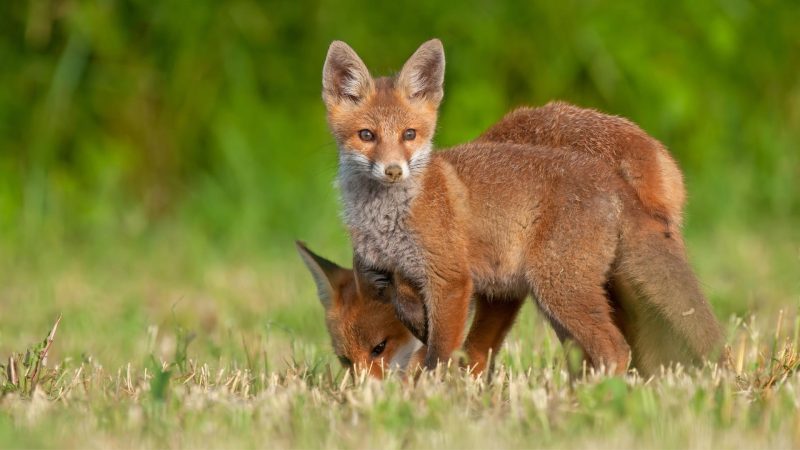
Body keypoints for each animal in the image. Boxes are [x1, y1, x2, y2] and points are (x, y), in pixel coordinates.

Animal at [296, 38, 720, 378]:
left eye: (380, 348)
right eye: (366, 135)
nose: (393, 170)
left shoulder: (464, 282)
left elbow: (452, 351)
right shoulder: (476, 285)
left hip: (559, 285)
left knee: (615, 348)